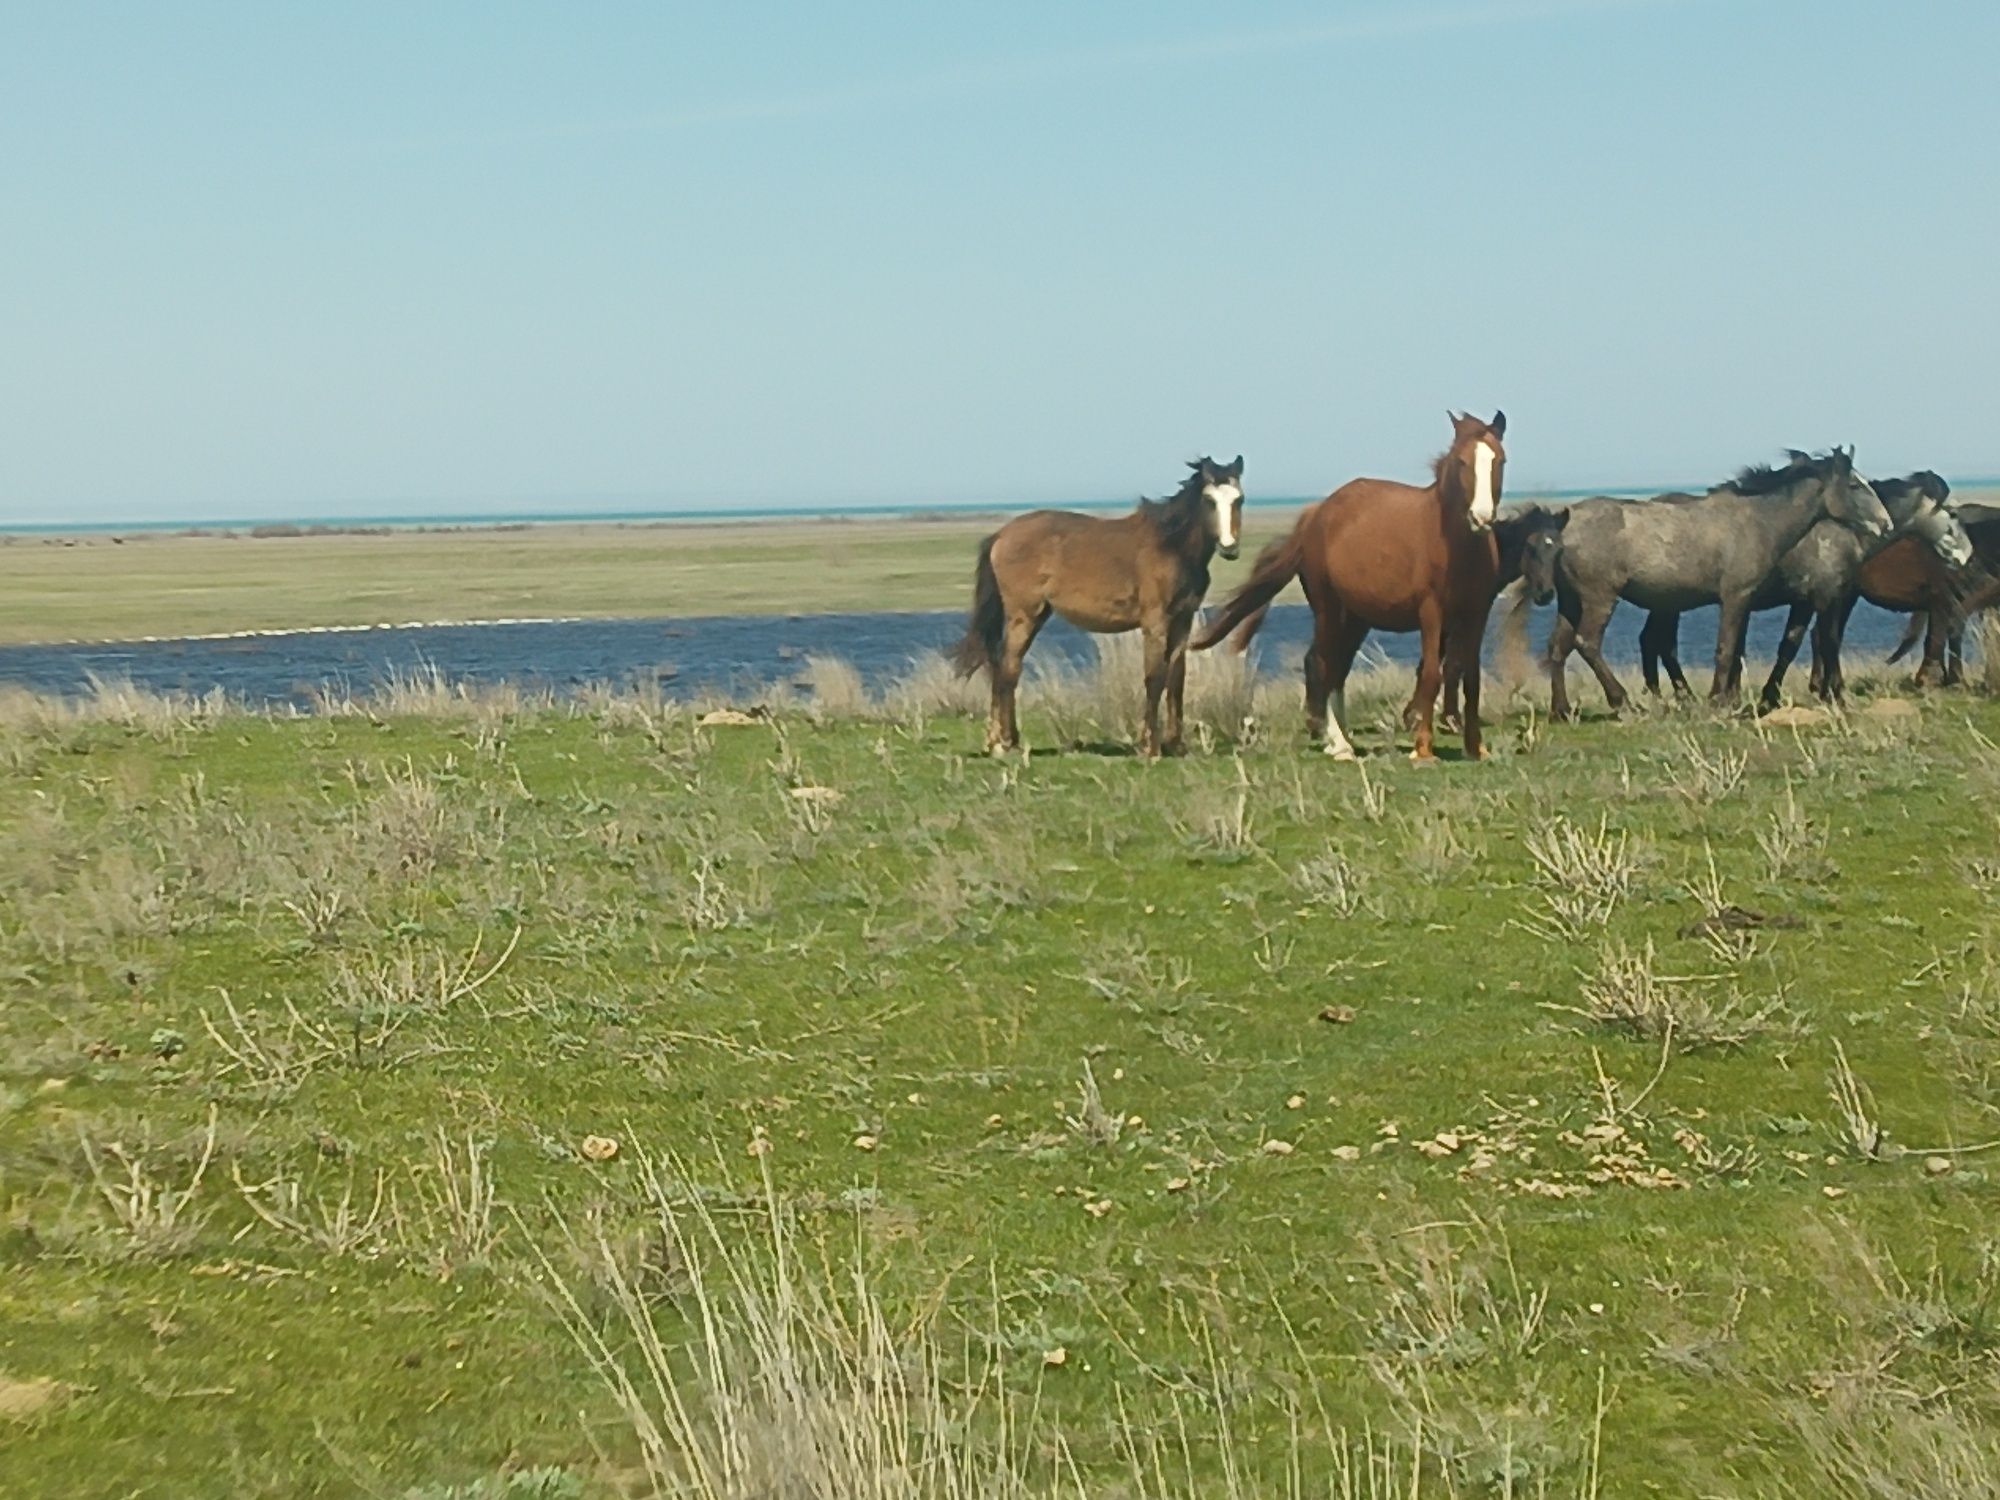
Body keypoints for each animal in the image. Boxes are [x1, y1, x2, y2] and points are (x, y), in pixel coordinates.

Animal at [948, 456, 1240, 764]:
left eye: (1239, 499)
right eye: (1209, 500)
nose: (1229, 547)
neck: (1171, 546)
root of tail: (1001, 535)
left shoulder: (1182, 621)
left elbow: (1176, 678)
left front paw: (1176, 745)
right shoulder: (1155, 622)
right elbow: (1154, 677)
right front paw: (1149, 747)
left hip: (1038, 615)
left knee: (1001, 667)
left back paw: (1000, 740)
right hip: (1024, 616)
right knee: (1008, 669)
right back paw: (1004, 743)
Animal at [1192, 412, 1504, 764]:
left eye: (1500, 460)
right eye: (1463, 461)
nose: (1481, 517)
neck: (1455, 544)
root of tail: (1315, 515)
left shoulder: (1477, 614)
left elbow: (1471, 679)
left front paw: (1477, 748)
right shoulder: (1431, 613)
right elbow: (1430, 675)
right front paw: (1422, 749)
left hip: (1355, 618)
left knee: (1337, 669)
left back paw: (1341, 737)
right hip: (1328, 608)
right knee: (1320, 662)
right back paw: (1338, 742)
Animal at [1544, 450, 1888, 720]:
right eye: (1854, 485)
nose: (1886, 524)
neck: (1757, 521)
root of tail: (1565, 527)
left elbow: (1742, 649)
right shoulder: (1737, 596)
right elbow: (1727, 649)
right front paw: (1717, 702)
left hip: (1572, 601)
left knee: (1558, 647)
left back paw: (1562, 710)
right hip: (1600, 597)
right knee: (1588, 643)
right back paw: (1623, 703)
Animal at [1640, 470, 1968, 712]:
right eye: (1950, 514)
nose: (1966, 554)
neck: (1842, 530)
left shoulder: (1806, 602)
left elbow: (1791, 644)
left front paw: (1769, 695)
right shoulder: (1825, 597)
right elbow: (1824, 641)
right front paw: (1832, 693)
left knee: (1652, 641)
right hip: (1669, 604)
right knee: (1662, 644)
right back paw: (1681, 695)